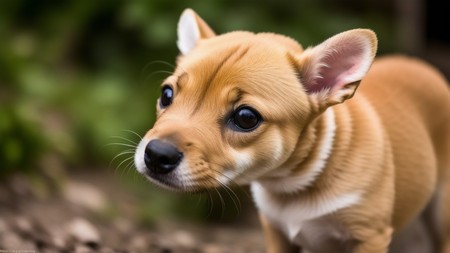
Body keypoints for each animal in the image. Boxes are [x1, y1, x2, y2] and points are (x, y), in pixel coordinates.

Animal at [134, 8, 450, 253]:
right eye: (166, 94)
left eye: (246, 118)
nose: (157, 154)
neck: (291, 184)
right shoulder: (276, 232)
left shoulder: (368, 236)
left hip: (441, 212)